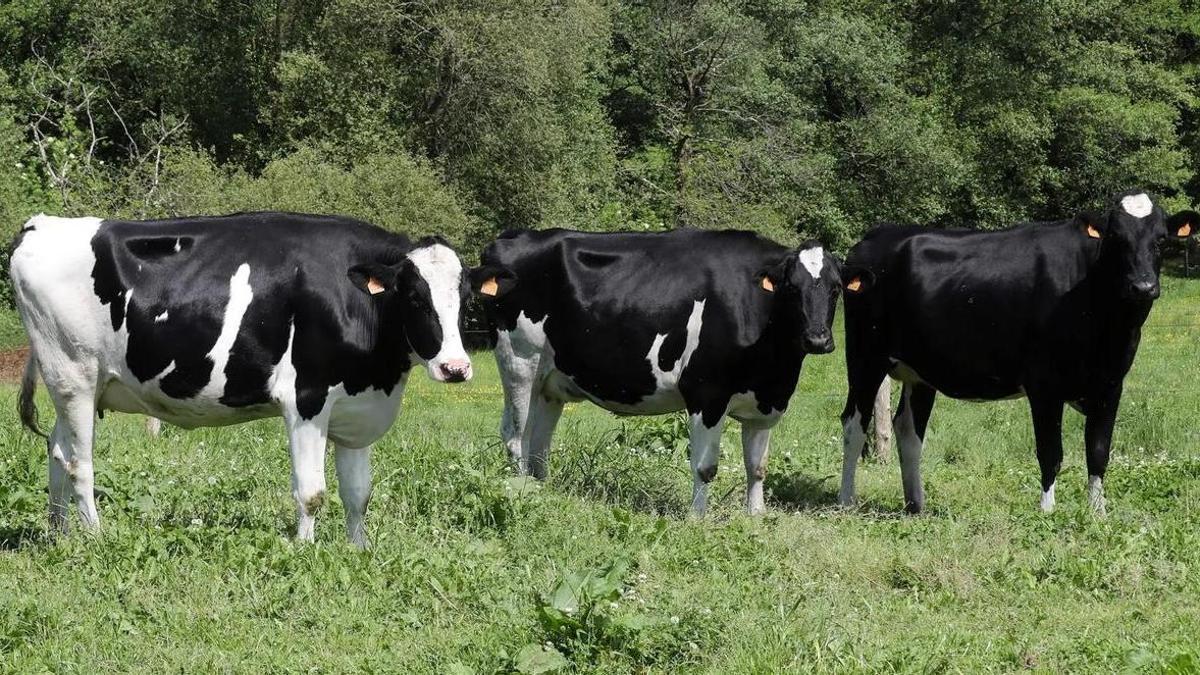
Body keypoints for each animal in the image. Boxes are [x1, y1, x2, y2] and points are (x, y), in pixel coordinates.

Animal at [10, 212, 472, 547]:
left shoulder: (358, 407)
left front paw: (358, 550)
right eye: (413, 296)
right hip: (74, 377)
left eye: (465, 298)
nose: (456, 367)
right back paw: (95, 538)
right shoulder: (306, 399)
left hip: (71, 386)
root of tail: (41, 224)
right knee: (79, 463)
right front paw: (305, 551)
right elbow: (312, 491)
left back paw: (59, 536)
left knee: (57, 451)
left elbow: (358, 492)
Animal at [469, 228, 843, 516]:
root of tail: (510, 238)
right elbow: (705, 467)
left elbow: (758, 466)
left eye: (836, 288)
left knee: (538, 442)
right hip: (519, 362)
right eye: (792, 288)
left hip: (549, 383)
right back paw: (521, 490)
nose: (817, 339)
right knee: (516, 436)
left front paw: (756, 516)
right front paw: (697, 518)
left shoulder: (763, 403)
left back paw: (541, 489)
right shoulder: (706, 394)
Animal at [837, 190, 1198, 515]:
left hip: (919, 371)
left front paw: (1098, 515)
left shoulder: (1110, 384)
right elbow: (1050, 452)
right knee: (854, 424)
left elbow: (1098, 452)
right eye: (1116, 238)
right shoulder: (1044, 385)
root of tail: (876, 235)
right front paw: (1047, 513)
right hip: (865, 357)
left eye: (1161, 240)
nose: (1143, 287)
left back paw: (916, 505)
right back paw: (846, 501)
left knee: (908, 431)